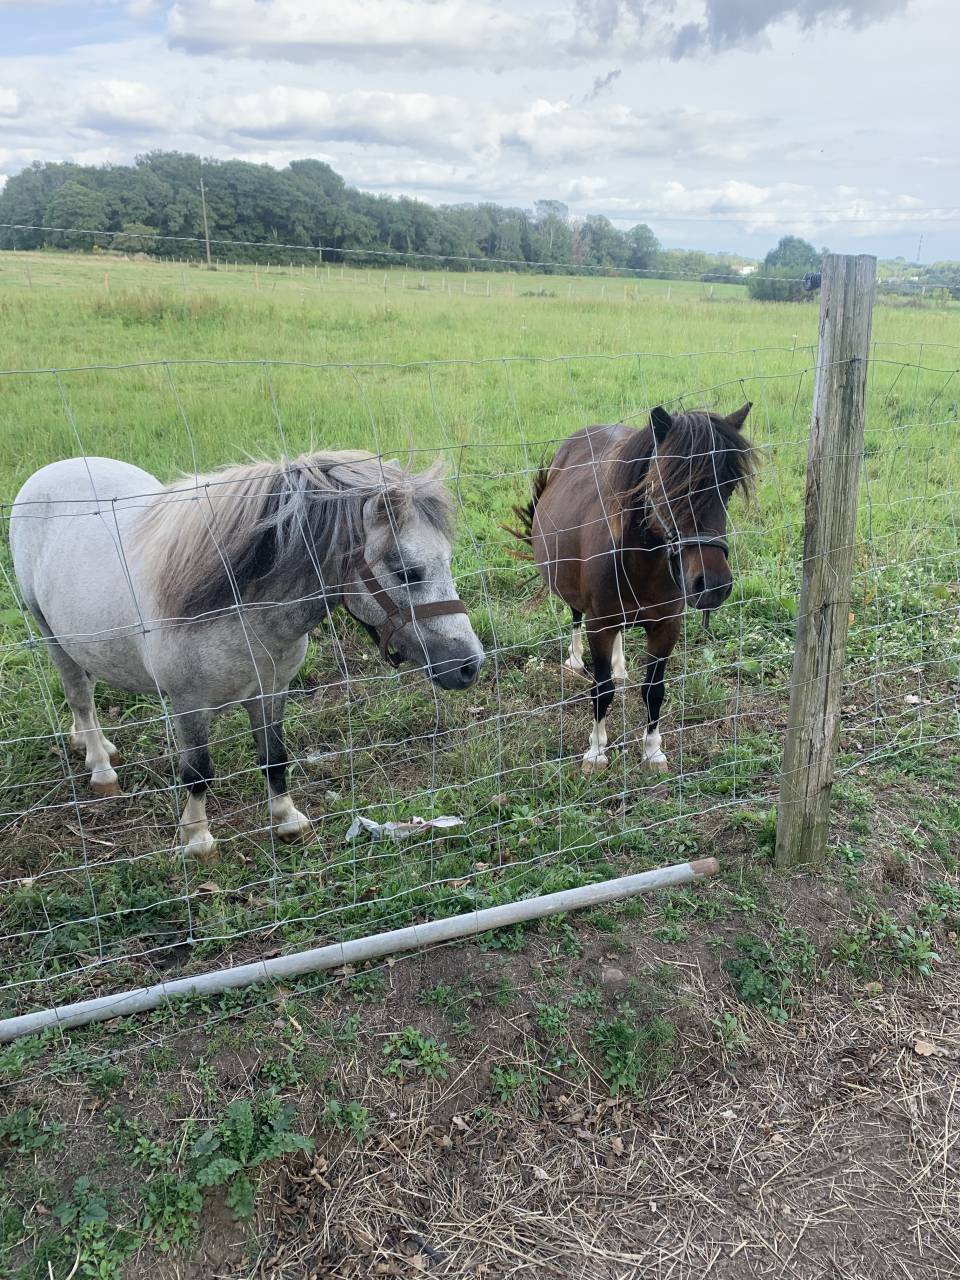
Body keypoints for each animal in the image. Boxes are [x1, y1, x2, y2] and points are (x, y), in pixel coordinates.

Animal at [10, 450, 485, 857]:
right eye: (407, 571)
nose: (469, 665)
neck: (238, 608)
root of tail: (53, 471)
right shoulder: (188, 706)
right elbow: (198, 773)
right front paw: (197, 840)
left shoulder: (270, 691)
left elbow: (275, 758)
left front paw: (287, 820)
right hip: (50, 635)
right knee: (80, 696)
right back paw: (100, 767)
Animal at [510, 403, 754, 774]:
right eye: (669, 485)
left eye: (728, 489)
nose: (712, 586)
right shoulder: (600, 625)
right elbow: (602, 689)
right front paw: (596, 751)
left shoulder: (666, 626)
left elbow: (654, 690)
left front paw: (652, 751)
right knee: (575, 615)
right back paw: (574, 659)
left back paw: (620, 665)